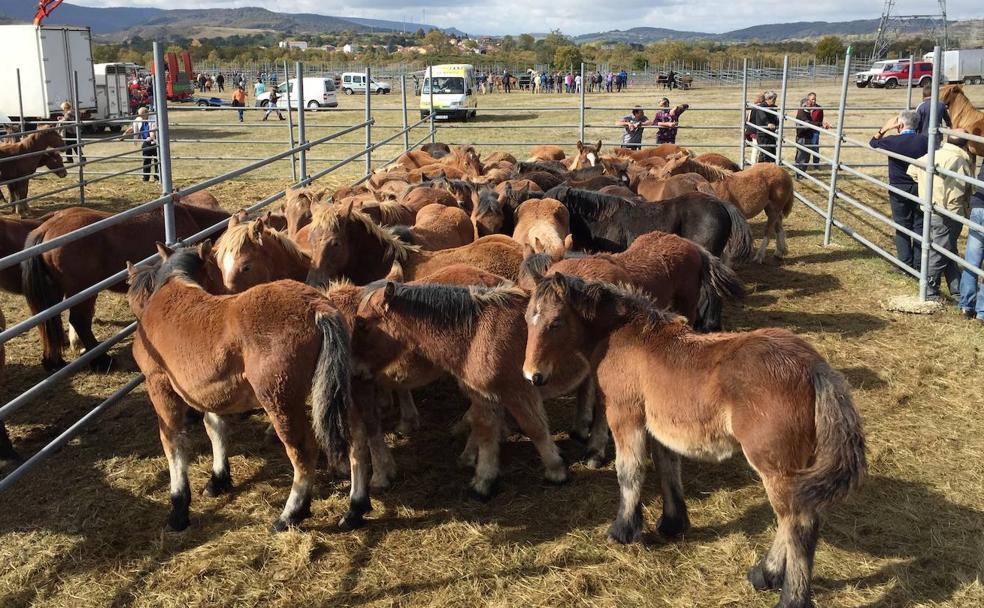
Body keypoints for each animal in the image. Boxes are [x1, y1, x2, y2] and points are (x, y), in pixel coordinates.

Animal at [24, 203, 232, 370]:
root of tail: (46, 229)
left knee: (47, 323)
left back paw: (53, 362)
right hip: (82, 292)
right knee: (79, 321)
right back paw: (101, 361)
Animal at [127, 242, 366, 532]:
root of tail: (318, 308)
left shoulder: (159, 385)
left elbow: (173, 441)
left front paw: (178, 508)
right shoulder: (210, 390)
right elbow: (215, 427)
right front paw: (218, 479)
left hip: (279, 399)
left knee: (303, 449)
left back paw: (290, 514)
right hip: (336, 389)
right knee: (356, 438)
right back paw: (355, 509)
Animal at [528, 274, 864, 608]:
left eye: (555, 322)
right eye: (528, 317)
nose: (532, 376)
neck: (624, 335)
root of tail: (813, 367)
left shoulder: (625, 416)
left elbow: (629, 471)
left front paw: (622, 530)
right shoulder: (660, 427)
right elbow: (667, 468)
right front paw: (672, 524)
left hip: (775, 466)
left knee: (799, 524)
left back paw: (789, 594)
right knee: (793, 518)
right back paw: (764, 575)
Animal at [656, 153, 796, 260]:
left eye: (669, 171)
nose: (657, 183)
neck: (709, 183)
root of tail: (784, 172)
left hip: (773, 208)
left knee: (769, 230)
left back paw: (759, 256)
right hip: (771, 208)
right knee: (778, 225)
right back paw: (780, 251)